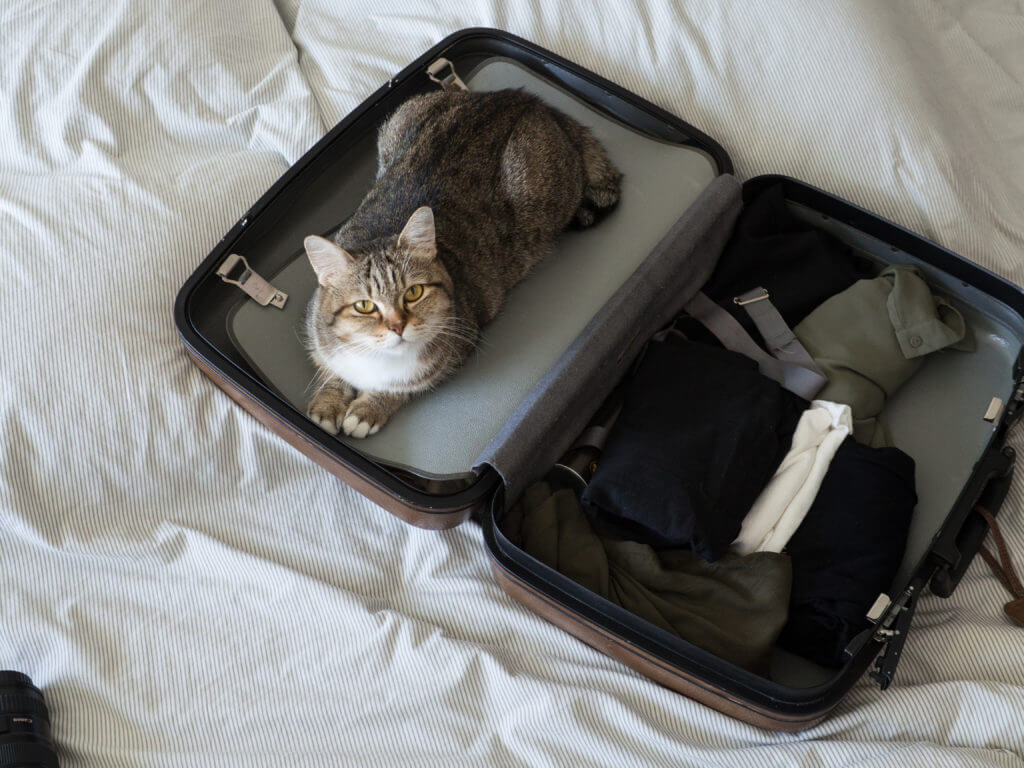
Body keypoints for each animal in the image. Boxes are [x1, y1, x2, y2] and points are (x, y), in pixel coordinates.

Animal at [303, 88, 618, 438]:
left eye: (413, 293)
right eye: (364, 306)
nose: (397, 326)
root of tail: (519, 98)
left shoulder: (454, 350)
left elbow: (403, 388)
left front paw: (370, 408)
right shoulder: (319, 337)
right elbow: (330, 371)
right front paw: (328, 403)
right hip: (399, 120)